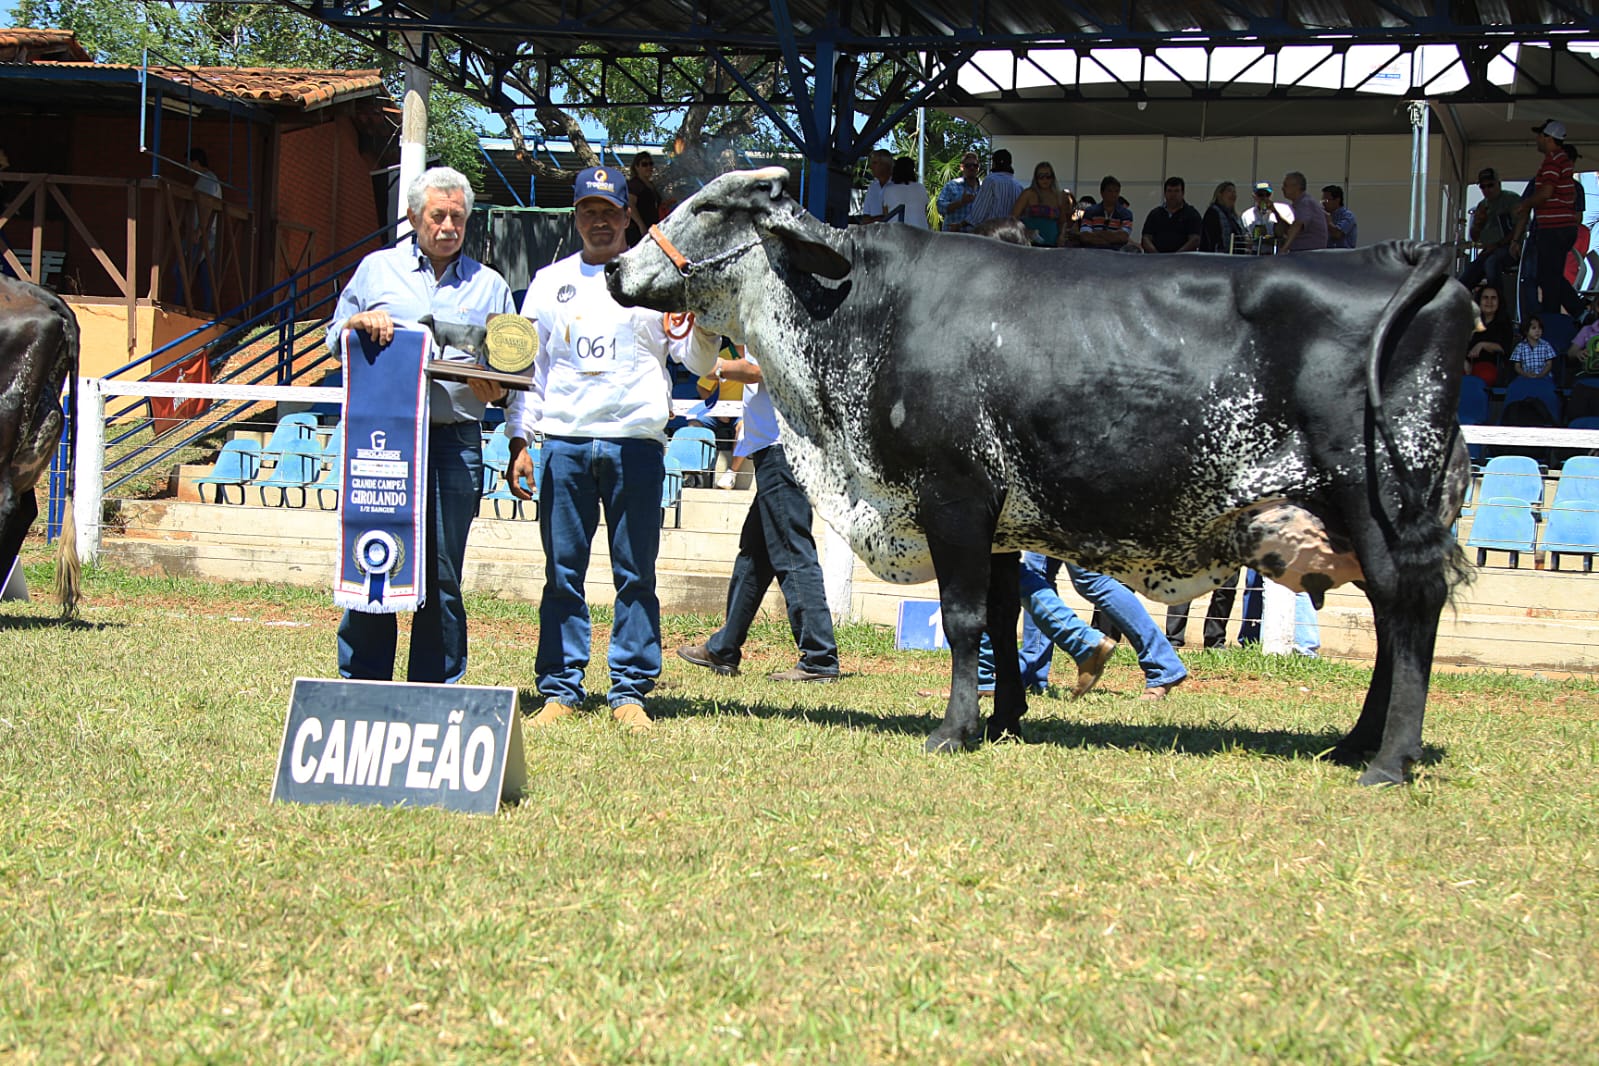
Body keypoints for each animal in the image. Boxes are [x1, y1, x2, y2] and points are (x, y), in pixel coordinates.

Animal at [607, 167, 1471, 783]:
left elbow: (961, 621)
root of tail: (1398, 254)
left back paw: (1387, 761)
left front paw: (954, 731)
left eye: (712, 206)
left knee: (1409, 613)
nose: (614, 266)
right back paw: (1356, 743)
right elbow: (996, 617)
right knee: (1393, 621)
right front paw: (1001, 720)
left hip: (1379, 499)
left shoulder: (954, 496)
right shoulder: (996, 521)